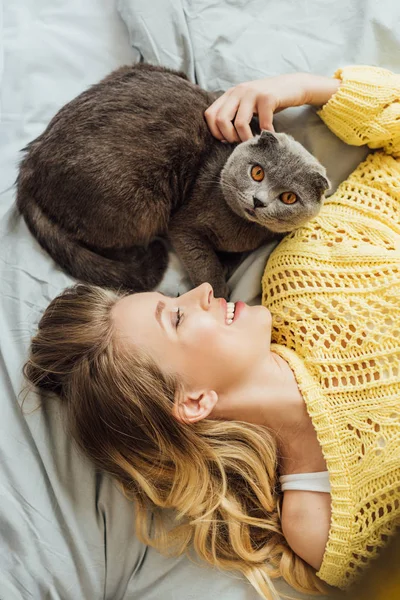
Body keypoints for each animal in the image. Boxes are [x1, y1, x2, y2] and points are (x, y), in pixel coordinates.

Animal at [16, 63, 328, 298]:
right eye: (257, 172)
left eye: (289, 197)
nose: (258, 201)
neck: (243, 230)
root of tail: (31, 160)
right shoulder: (185, 226)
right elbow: (204, 263)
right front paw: (217, 294)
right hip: (144, 208)